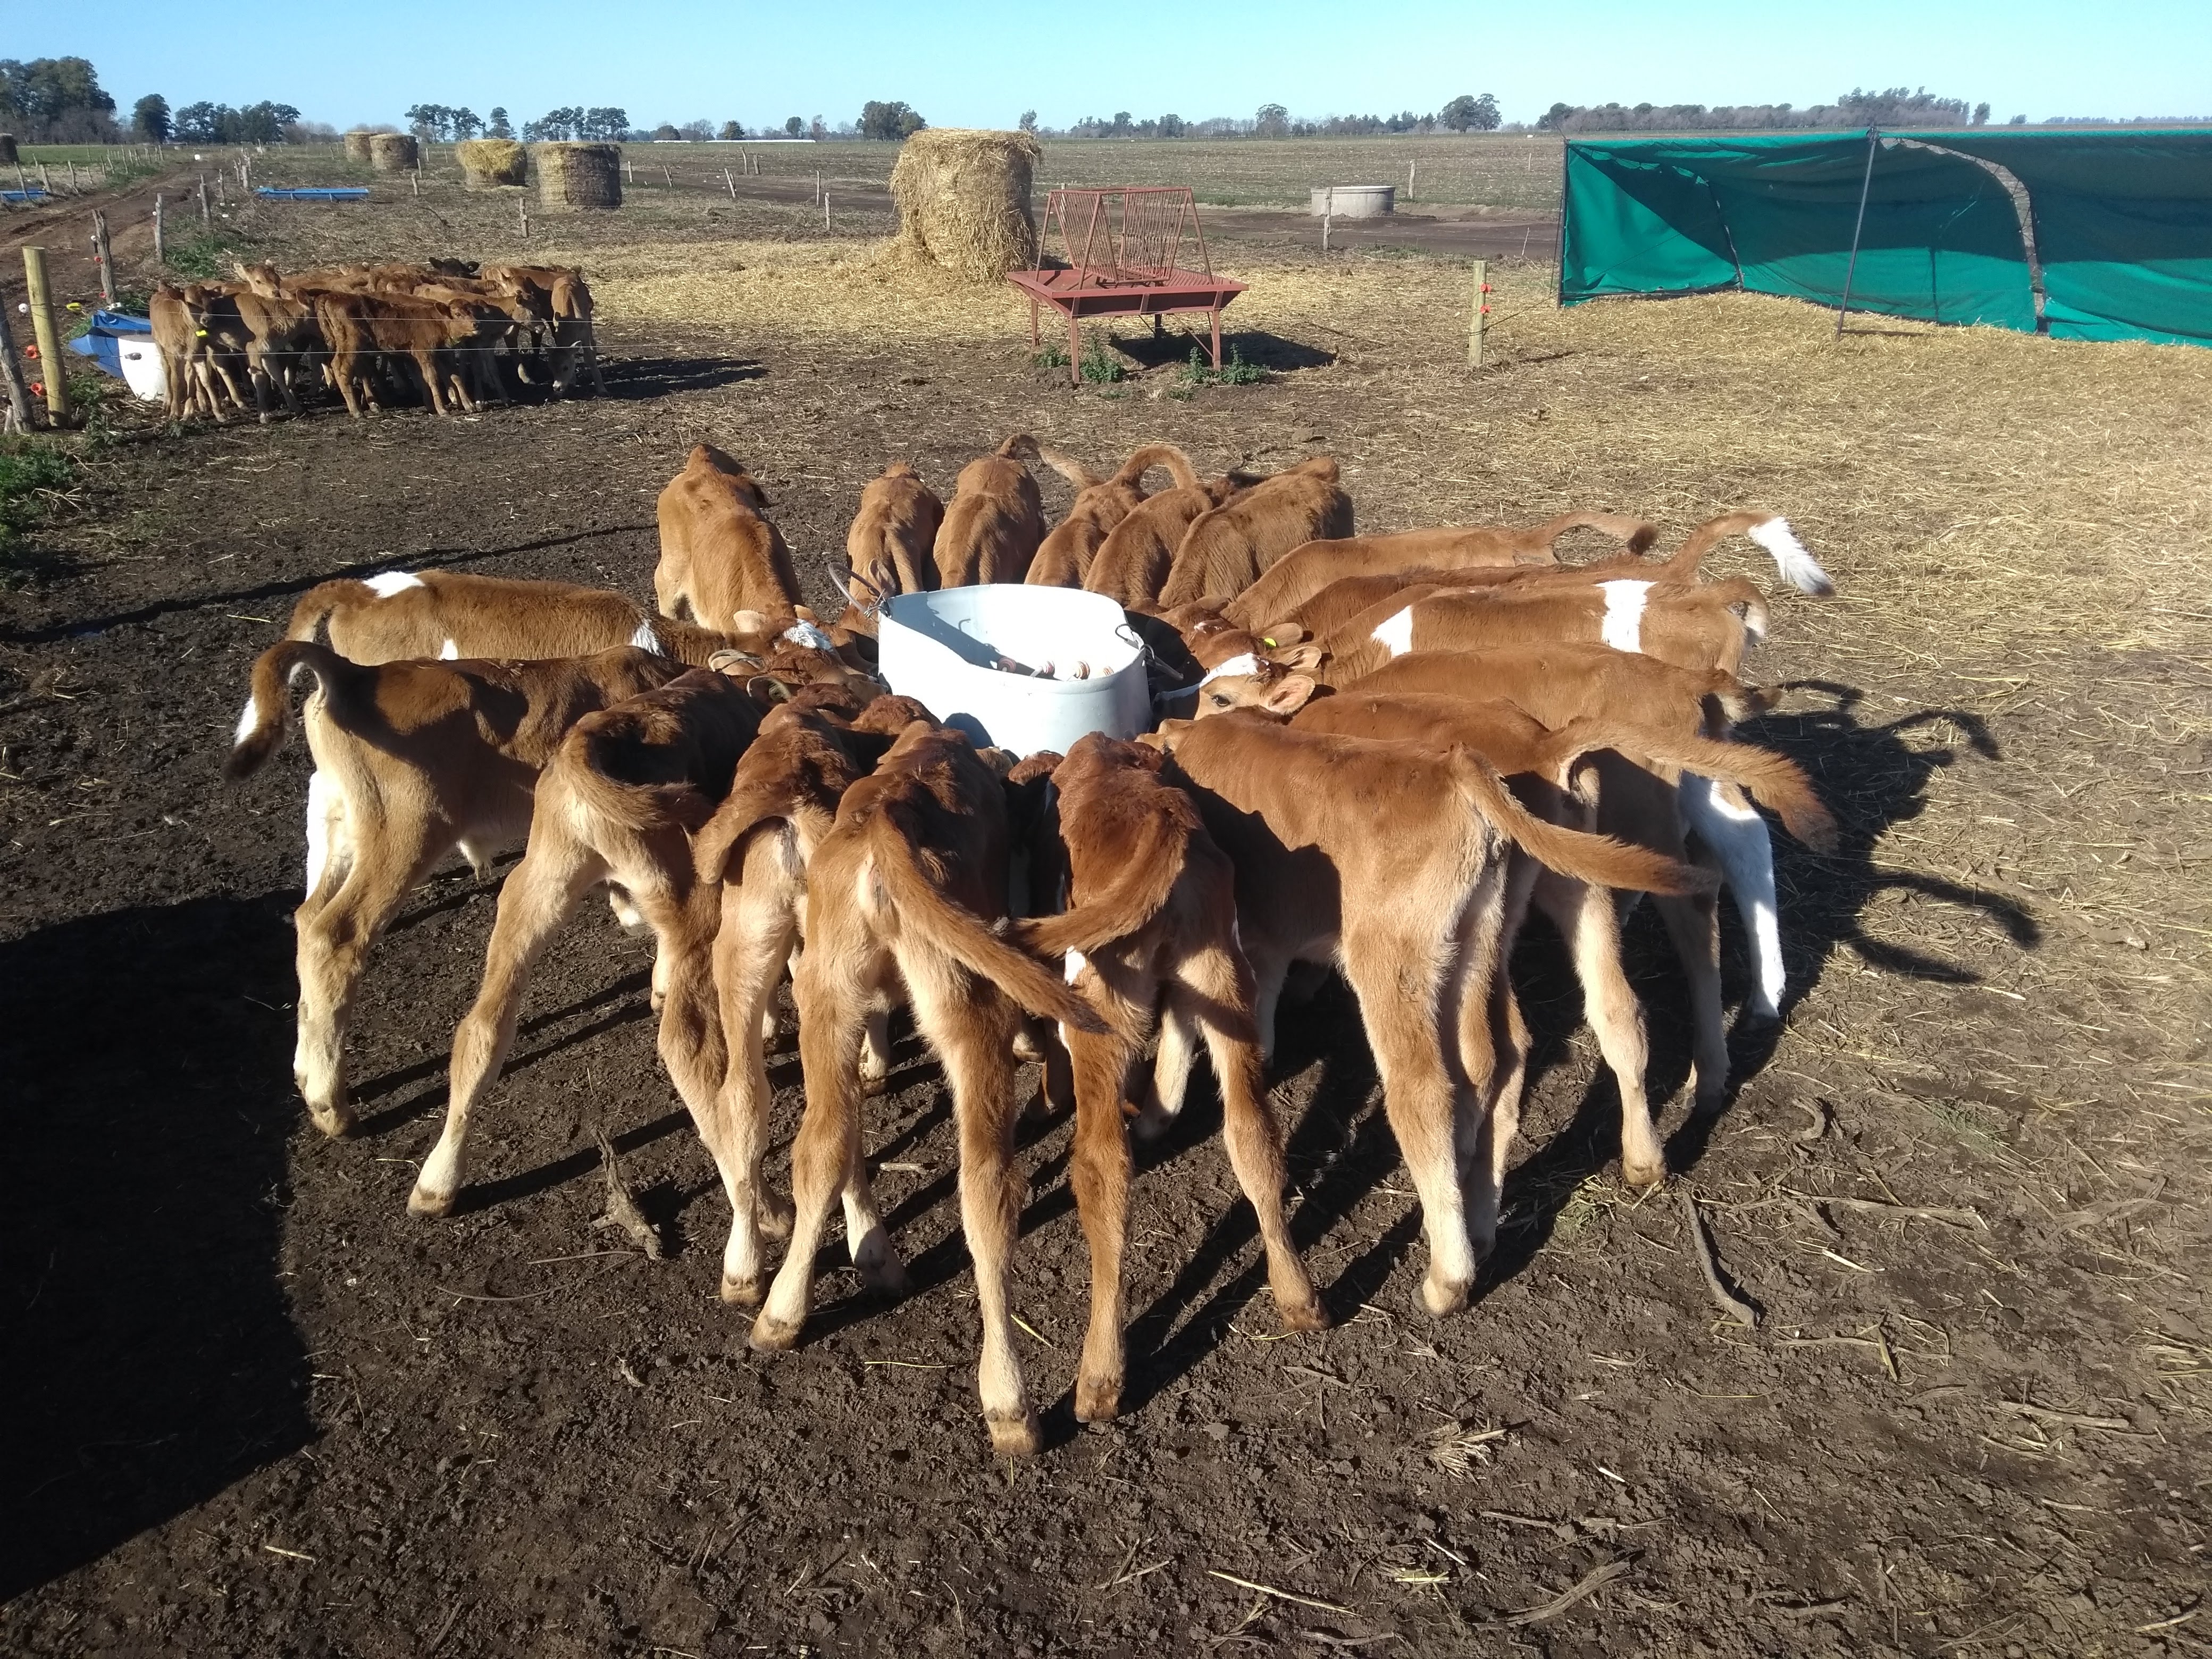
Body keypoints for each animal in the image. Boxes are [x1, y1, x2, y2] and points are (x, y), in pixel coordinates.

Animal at [228, 641, 681, 1141]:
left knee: (308, 920)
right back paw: (330, 1105)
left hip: (339, 826)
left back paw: (307, 1071)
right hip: (407, 833)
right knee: (336, 936)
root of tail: (353, 676)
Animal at [752, 725, 1106, 1451]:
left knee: (821, 1146)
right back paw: (1009, 1402)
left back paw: (781, 1315)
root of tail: (888, 821)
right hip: (971, 1017)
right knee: (986, 1189)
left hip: (826, 996)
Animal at [1013, 739, 1318, 1433]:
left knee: (1102, 1166)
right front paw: (1154, 1111)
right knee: (1252, 1133)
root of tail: (1162, 822)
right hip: (1224, 978)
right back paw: (1297, 1294)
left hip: (1100, 1006)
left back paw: (1100, 1376)